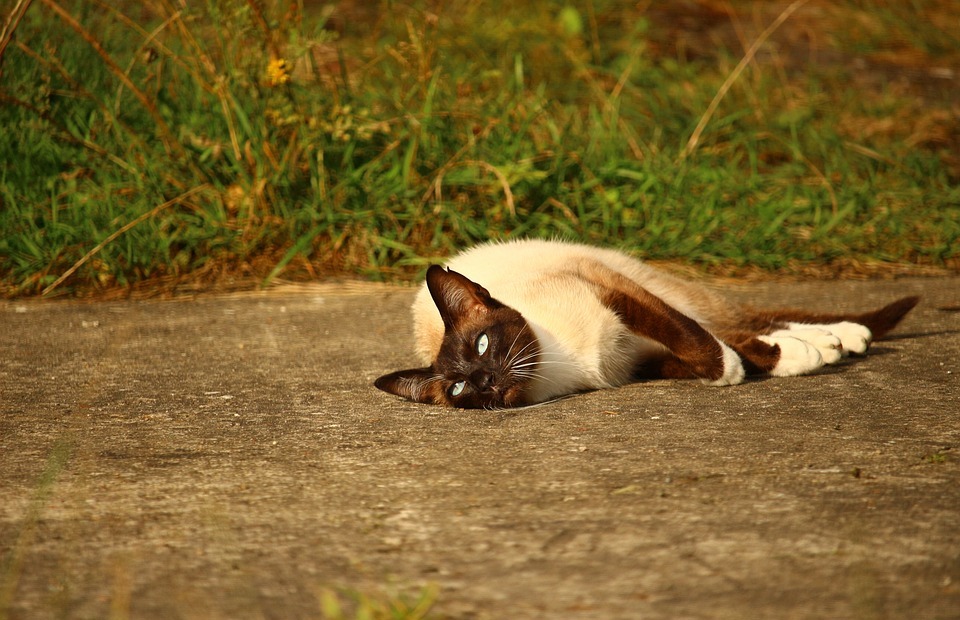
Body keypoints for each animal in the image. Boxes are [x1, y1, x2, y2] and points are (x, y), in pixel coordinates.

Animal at [372, 240, 920, 410]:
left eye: (484, 343)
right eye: (459, 388)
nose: (485, 380)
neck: (563, 369)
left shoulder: (617, 292)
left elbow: (695, 338)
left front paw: (732, 371)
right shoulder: (640, 363)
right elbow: (708, 353)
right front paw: (748, 367)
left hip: (651, 283)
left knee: (739, 321)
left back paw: (842, 337)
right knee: (744, 330)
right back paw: (823, 346)